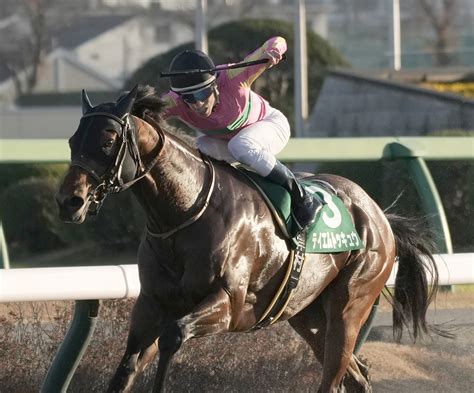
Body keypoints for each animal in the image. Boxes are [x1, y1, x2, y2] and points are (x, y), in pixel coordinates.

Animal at [57, 84, 442, 390]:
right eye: (72, 140)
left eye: (108, 140)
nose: (69, 201)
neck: (183, 213)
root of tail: (378, 214)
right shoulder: (152, 305)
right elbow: (126, 367)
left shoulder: (229, 304)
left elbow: (172, 337)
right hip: (307, 314)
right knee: (357, 374)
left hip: (351, 304)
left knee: (335, 377)